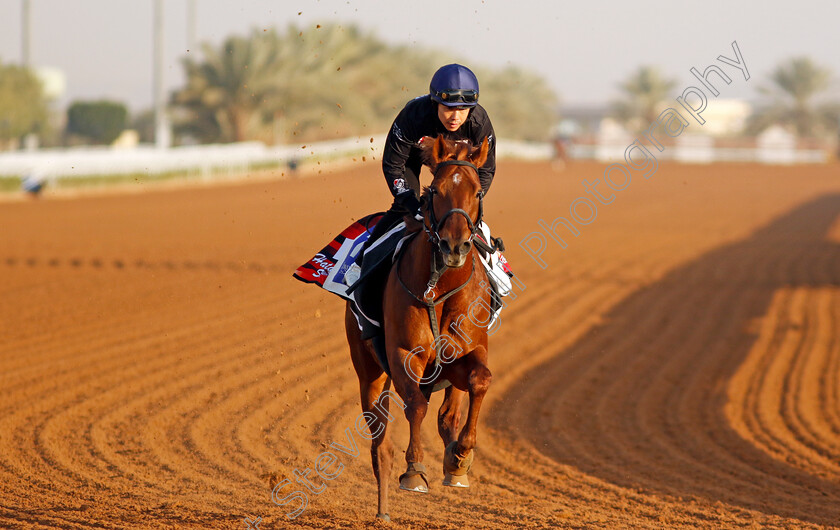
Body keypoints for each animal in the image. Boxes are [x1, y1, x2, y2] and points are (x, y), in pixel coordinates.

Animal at [344, 134, 496, 516]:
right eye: (436, 190)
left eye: (477, 192)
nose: (454, 245)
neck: (439, 287)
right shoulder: (404, 354)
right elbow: (415, 405)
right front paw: (414, 470)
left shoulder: (464, 353)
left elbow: (479, 381)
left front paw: (460, 458)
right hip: (368, 371)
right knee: (379, 442)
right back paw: (382, 508)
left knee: (447, 414)